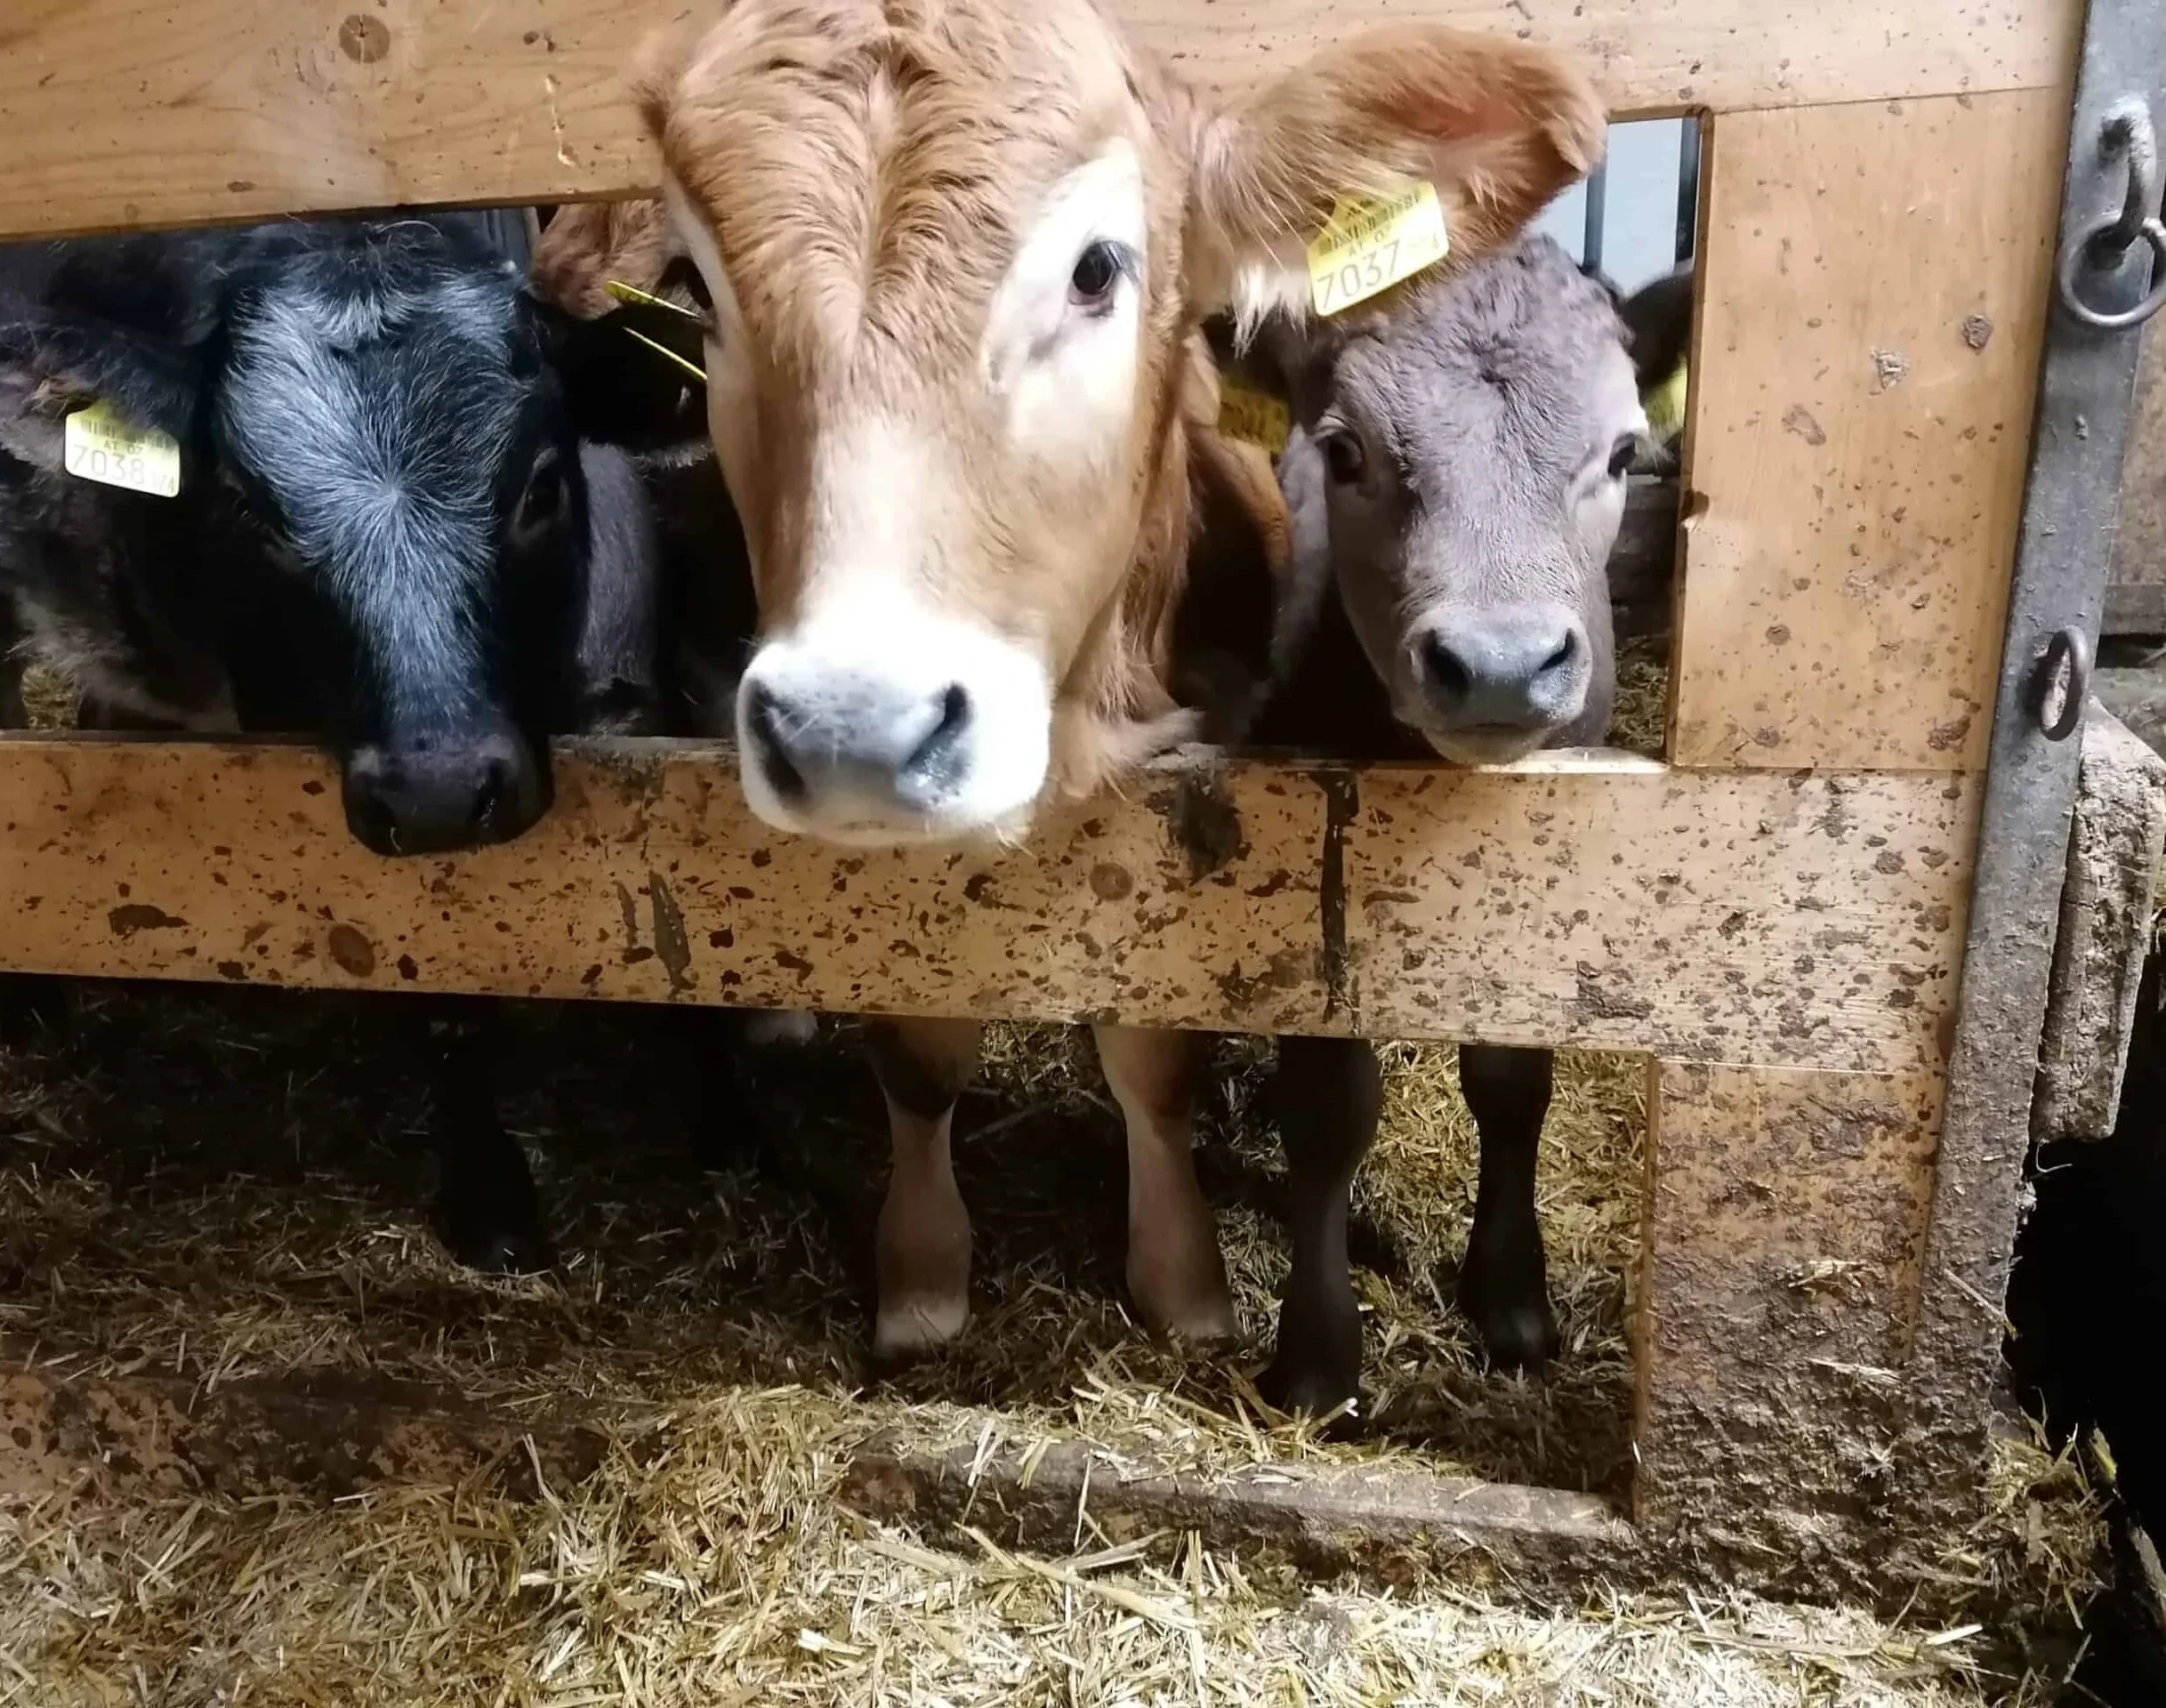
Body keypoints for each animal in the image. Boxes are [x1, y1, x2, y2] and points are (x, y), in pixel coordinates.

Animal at [632, 0, 1611, 1359]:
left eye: (1097, 269)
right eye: (692, 288)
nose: (851, 728)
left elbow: (1148, 1048)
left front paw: (1183, 1282)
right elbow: (917, 1052)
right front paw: (922, 1276)